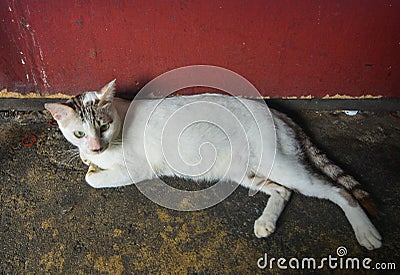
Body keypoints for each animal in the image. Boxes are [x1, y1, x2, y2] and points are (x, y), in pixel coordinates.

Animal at [43, 80, 382, 250]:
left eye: (103, 126)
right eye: (79, 133)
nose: (95, 146)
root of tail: (276, 112)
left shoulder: (138, 169)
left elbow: (91, 178)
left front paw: (92, 168)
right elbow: (87, 163)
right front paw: (87, 159)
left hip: (280, 165)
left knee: (340, 192)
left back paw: (366, 232)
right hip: (243, 171)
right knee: (283, 191)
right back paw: (266, 222)